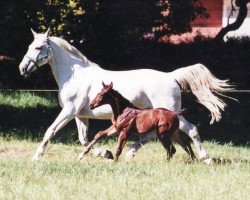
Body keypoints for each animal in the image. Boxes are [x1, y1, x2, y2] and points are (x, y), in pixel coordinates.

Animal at [18, 29, 233, 164]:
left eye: (38, 47)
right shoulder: (80, 115)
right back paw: (132, 153)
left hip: (169, 112)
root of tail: (171, 76)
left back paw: (206, 158)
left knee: (191, 129)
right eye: (29, 45)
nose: (22, 68)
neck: (75, 75)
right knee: (162, 135)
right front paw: (105, 153)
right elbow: (84, 139)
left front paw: (36, 157)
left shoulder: (69, 112)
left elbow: (50, 131)